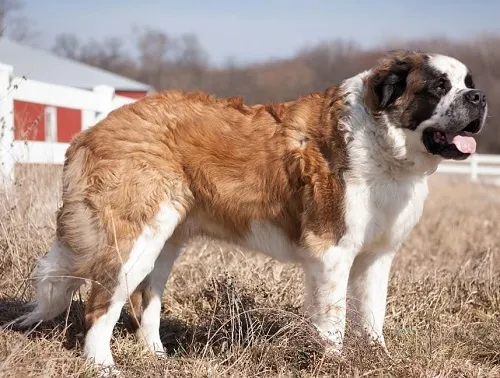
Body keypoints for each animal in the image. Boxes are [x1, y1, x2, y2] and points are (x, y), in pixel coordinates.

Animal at [19, 49, 488, 372]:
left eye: (467, 82)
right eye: (439, 87)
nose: (479, 96)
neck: (381, 141)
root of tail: (93, 129)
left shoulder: (375, 257)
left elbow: (373, 316)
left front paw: (378, 358)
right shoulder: (332, 253)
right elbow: (333, 319)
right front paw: (334, 362)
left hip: (164, 242)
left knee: (144, 299)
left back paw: (159, 357)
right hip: (134, 236)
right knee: (102, 302)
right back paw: (103, 365)